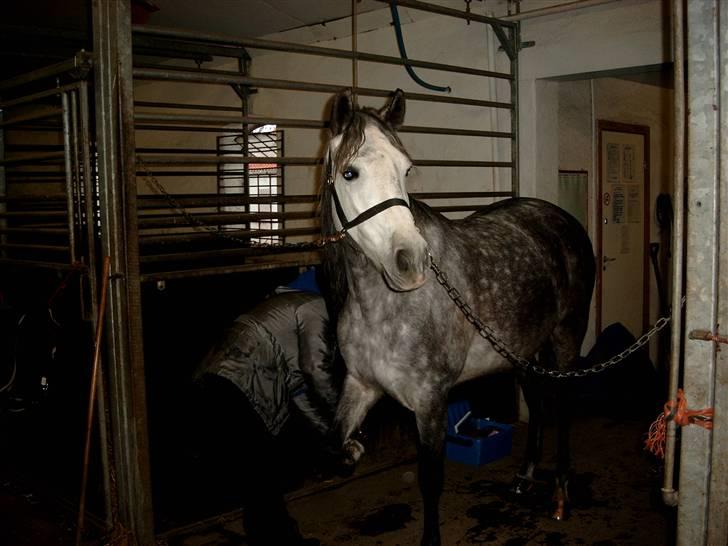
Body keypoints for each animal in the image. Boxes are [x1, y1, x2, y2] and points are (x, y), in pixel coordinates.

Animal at [322, 89, 596, 544]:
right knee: (538, 405)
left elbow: (430, 481)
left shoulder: (431, 401)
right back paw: (524, 477)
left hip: (565, 340)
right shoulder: (360, 384)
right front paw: (353, 449)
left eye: (406, 169)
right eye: (349, 172)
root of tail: (560, 219)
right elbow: (334, 445)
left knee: (563, 407)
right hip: (522, 351)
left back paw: (560, 494)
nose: (410, 261)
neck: (381, 306)